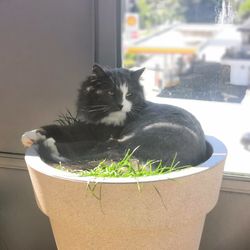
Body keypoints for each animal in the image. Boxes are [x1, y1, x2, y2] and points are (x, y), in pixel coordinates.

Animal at [22, 63, 207, 167]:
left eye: (129, 94)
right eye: (110, 92)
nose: (121, 105)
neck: (100, 116)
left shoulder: (96, 133)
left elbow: (70, 136)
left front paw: (37, 137)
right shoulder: (85, 126)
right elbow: (58, 127)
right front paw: (30, 135)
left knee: (86, 151)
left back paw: (51, 145)